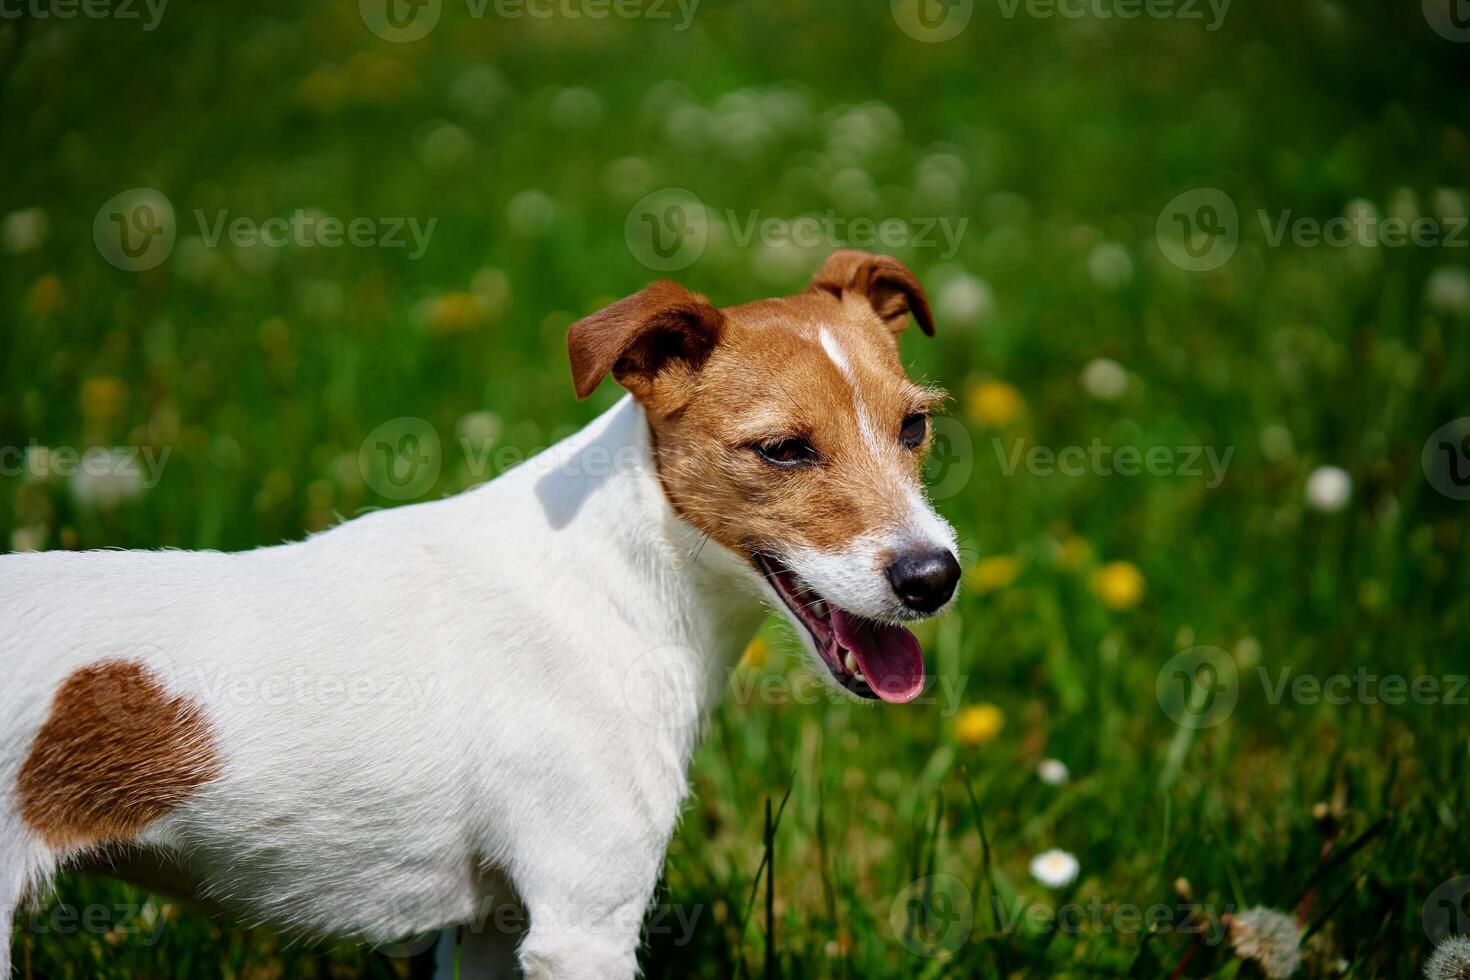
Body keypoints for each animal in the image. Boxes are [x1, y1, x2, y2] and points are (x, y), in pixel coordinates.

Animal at [0, 249, 964, 975]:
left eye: (914, 427)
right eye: (784, 450)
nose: (935, 576)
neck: (612, 576)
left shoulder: (495, 926)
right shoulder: (583, 924)